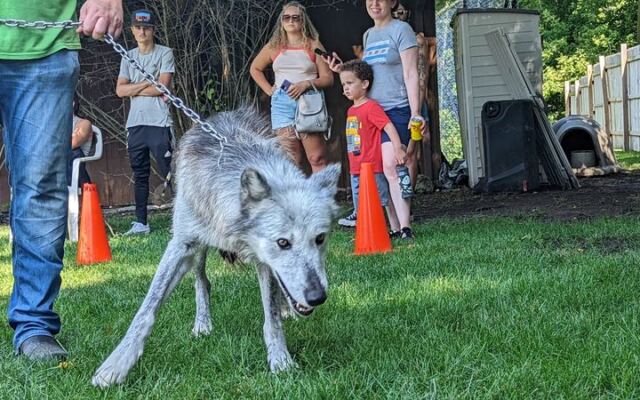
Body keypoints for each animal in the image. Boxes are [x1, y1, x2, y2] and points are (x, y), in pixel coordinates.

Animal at [92, 107, 340, 388]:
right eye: (283, 242)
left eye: (320, 239)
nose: (318, 297)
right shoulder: (180, 246)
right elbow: (146, 311)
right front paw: (115, 366)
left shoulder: (264, 262)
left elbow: (272, 317)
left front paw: (281, 361)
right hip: (197, 251)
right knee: (202, 282)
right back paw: (202, 325)